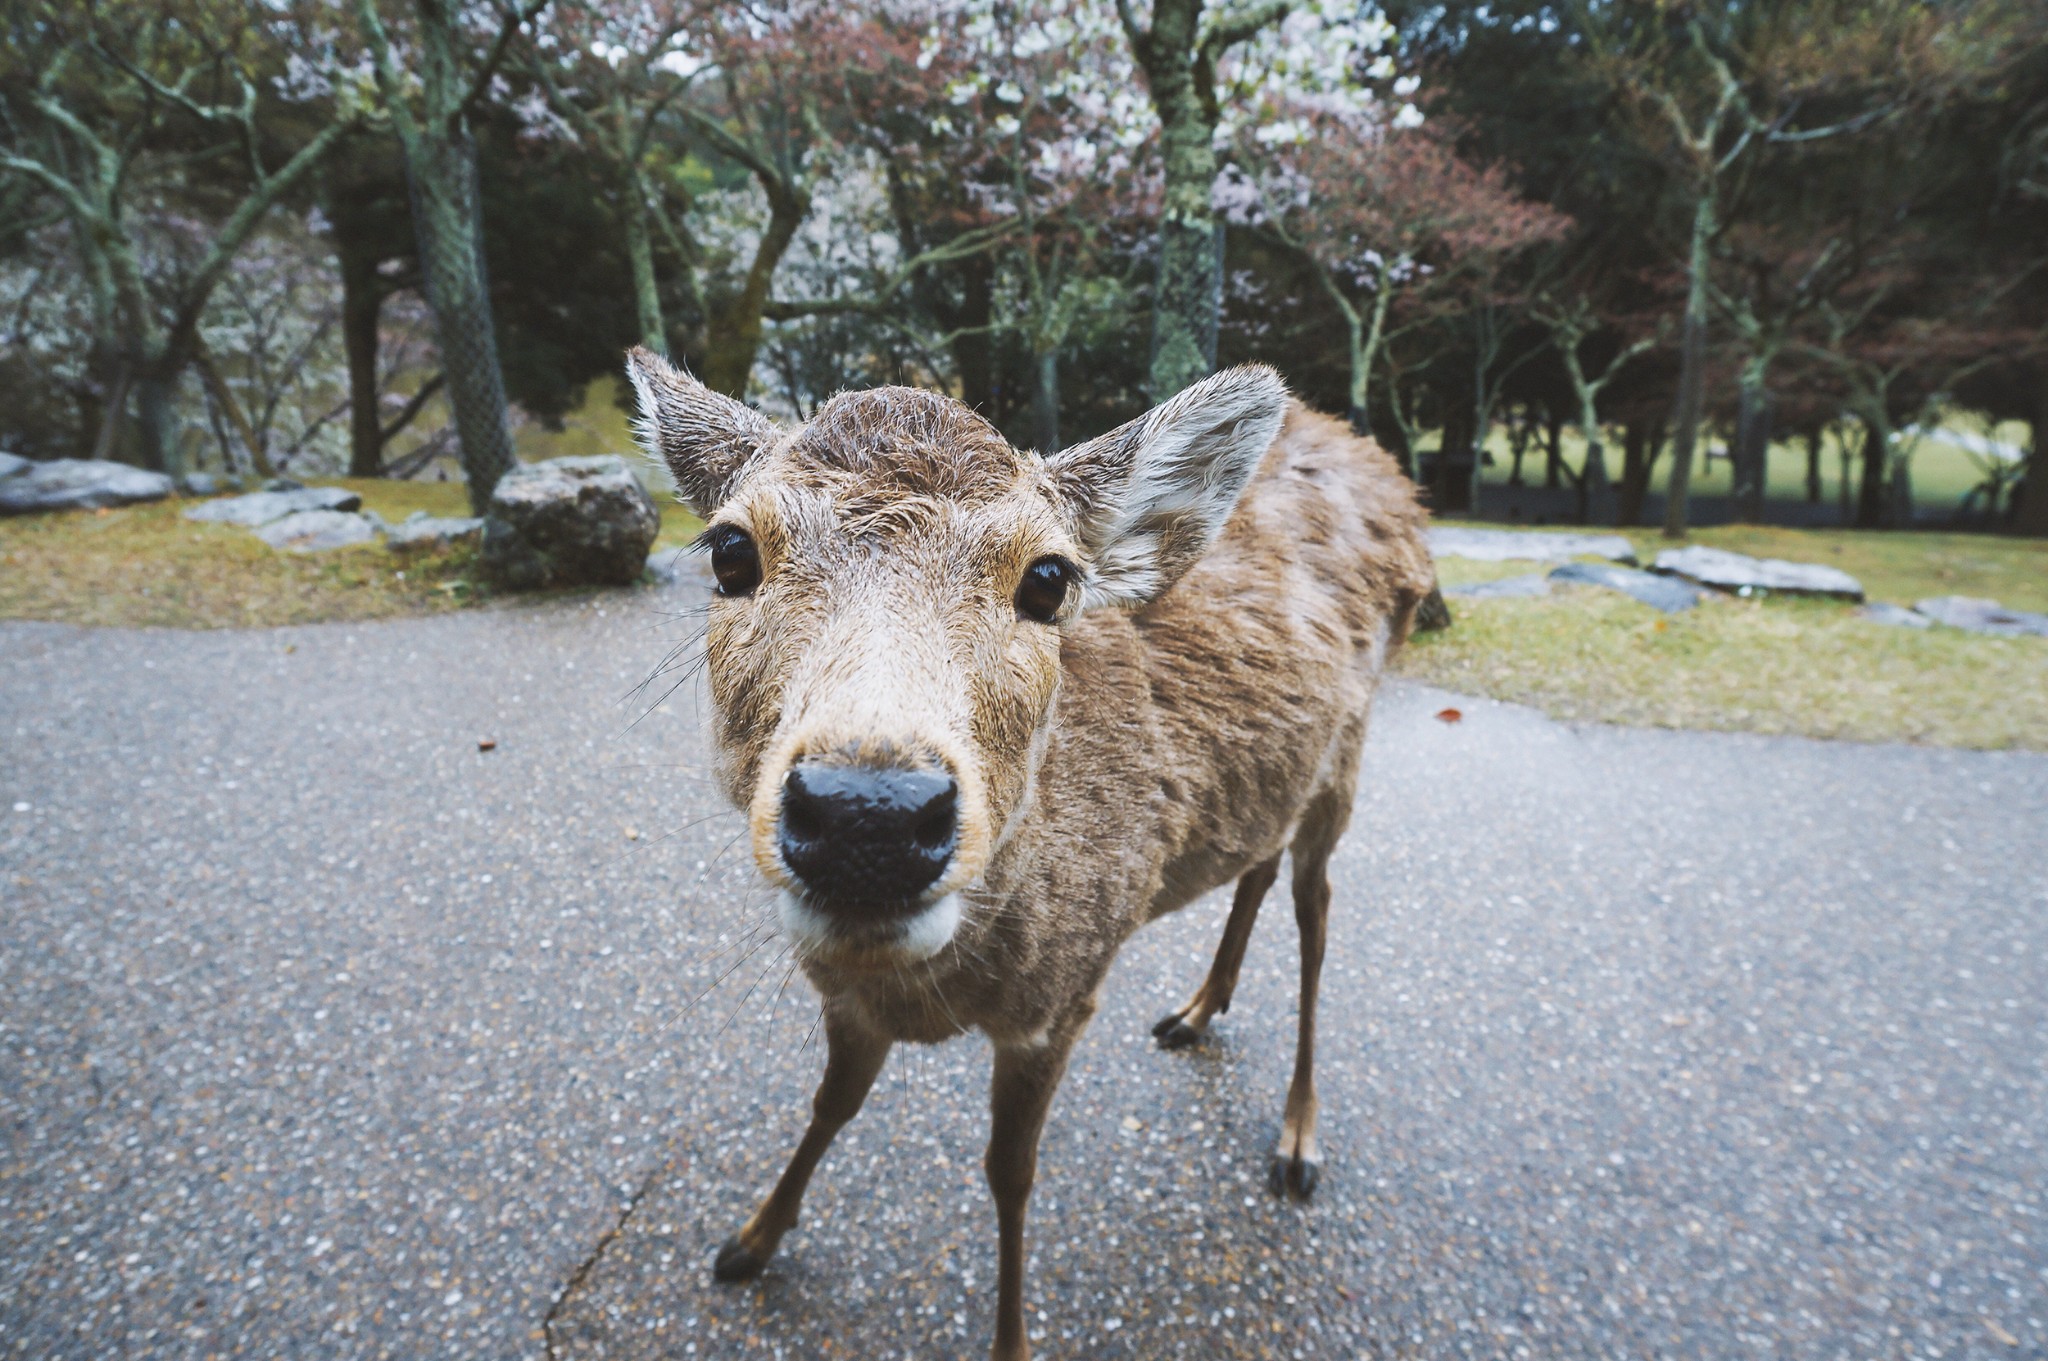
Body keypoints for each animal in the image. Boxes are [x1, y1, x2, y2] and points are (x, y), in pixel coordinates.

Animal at [630, 347, 1433, 1358]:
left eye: (1048, 577)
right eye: (731, 551)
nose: (869, 815)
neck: (943, 987)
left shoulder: (1066, 991)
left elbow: (1010, 1171)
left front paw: (1010, 1335)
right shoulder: (850, 999)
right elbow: (831, 1102)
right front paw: (750, 1238)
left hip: (1351, 747)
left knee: (1317, 906)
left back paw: (1297, 1137)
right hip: (1284, 772)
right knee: (1258, 859)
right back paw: (1198, 1007)